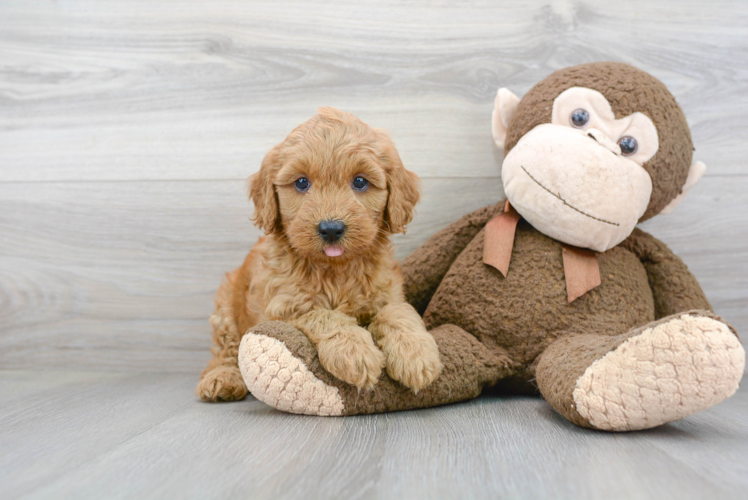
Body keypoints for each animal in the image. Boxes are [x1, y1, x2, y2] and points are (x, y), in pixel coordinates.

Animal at [197, 106, 444, 402]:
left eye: (360, 182)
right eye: (302, 183)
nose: (331, 229)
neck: (335, 269)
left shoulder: (387, 293)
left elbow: (398, 313)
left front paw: (416, 354)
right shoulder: (282, 309)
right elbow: (323, 315)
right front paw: (354, 351)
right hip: (226, 308)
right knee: (225, 350)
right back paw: (221, 379)